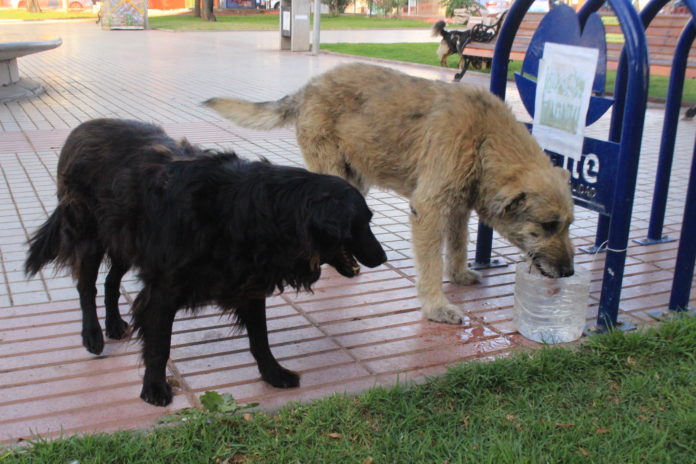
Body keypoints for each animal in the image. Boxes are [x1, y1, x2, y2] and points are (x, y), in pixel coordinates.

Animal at [25, 119, 386, 406]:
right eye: (361, 223)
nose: (382, 257)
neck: (253, 210)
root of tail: (81, 128)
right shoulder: (163, 289)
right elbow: (159, 345)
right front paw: (154, 388)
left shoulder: (249, 284)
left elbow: (260, 338)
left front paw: (273, 373)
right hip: (88, 235)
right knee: (86, 287)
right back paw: (93, 335)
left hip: (126, 241)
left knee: (111, 280)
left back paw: (114, 325)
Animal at [205, 61, 576, 324]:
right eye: (547, 225)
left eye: (569, 225)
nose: (570, 273)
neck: (485, 139)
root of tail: (307, 88)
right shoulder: (428, 209)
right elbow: (430, 263)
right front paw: (436, 307)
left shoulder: (458, 207)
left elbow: (457, 244)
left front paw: (457, 275)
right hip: (333, 172)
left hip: (355, 179)